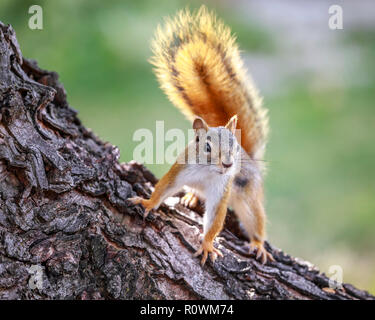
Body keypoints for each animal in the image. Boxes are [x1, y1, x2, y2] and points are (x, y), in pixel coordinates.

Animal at [129, 5, 274, 264]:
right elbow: (162, 188)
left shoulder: (221, 189)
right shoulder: (180, 169)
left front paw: (207, 245)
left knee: (255, 220)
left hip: (248, 194)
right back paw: (191, 197)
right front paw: (147, 202)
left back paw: (258, 244)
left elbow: (215, 219)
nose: (228, 164)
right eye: (206, 146)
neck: (208, 173)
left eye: (233, 147)